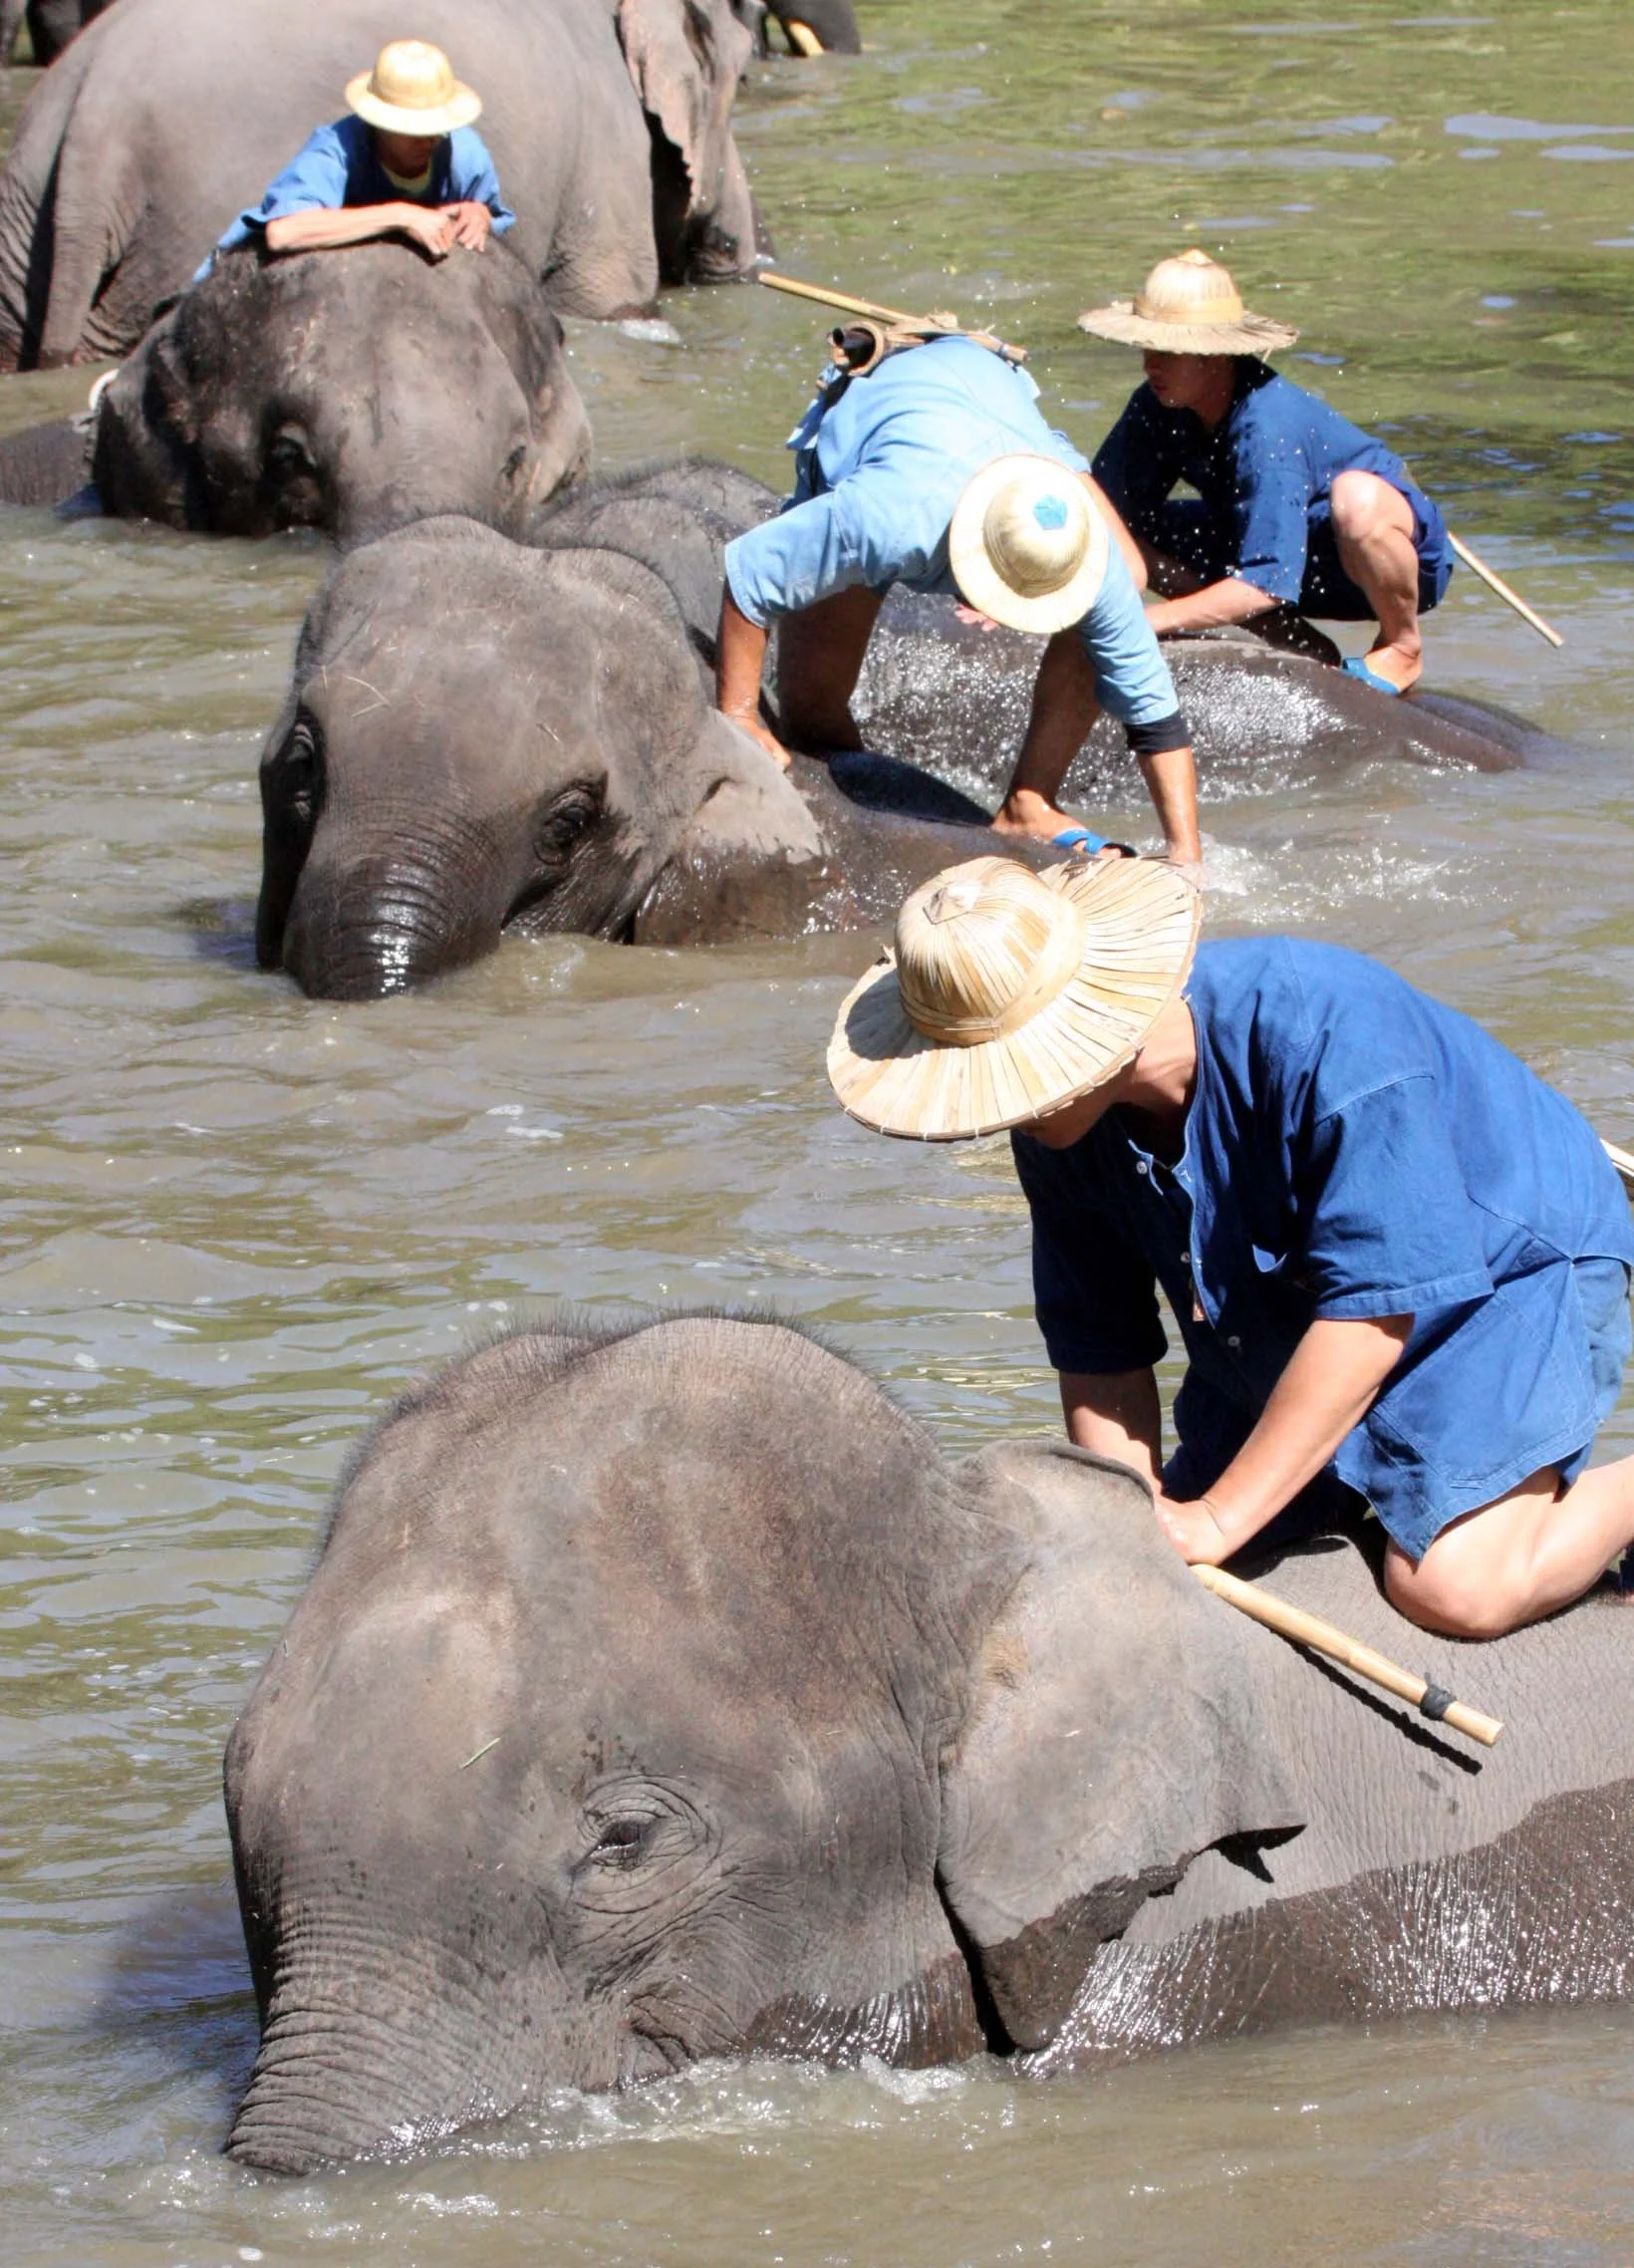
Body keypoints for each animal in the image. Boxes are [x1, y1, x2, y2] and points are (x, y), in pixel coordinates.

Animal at [0, 0, 762, 369]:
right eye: (740, 68)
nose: (732, 250)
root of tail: (95, 127)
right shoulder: (608, 161)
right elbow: (608, 299)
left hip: (23, 225)